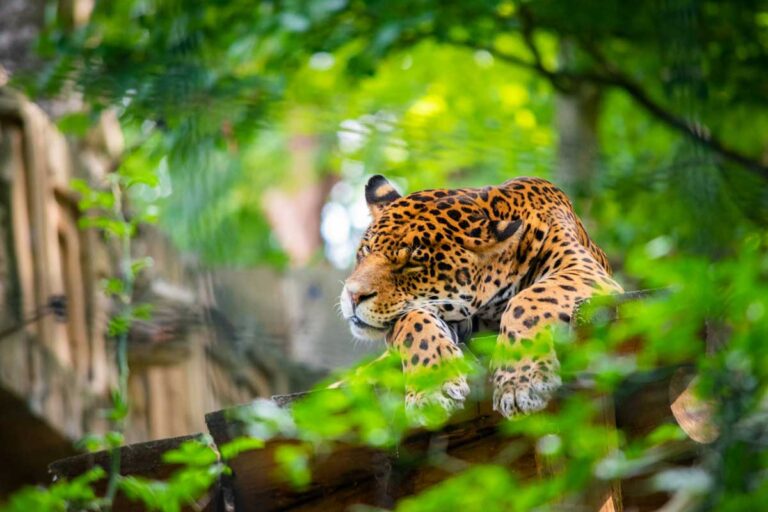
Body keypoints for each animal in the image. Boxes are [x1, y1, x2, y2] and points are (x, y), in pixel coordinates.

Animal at [339, 175, 623, 418]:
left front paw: (520, 381)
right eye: (366, 250)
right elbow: (412, 320)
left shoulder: (581, 269)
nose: (353, 296)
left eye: (412, 264)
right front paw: (432, 388)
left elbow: (528, 299)